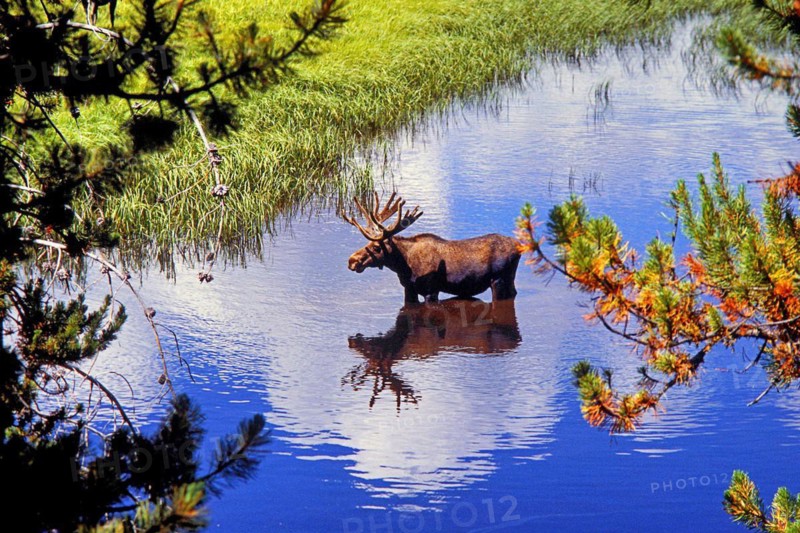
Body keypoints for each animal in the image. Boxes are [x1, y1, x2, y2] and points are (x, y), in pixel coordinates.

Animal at [342, 192, 521, 303]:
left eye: (377, 247)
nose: (351, 261)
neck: (403, 266)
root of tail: (519, 247)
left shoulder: (431, 290)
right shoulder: (409, 289)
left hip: (498, 280)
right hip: (508, 279)